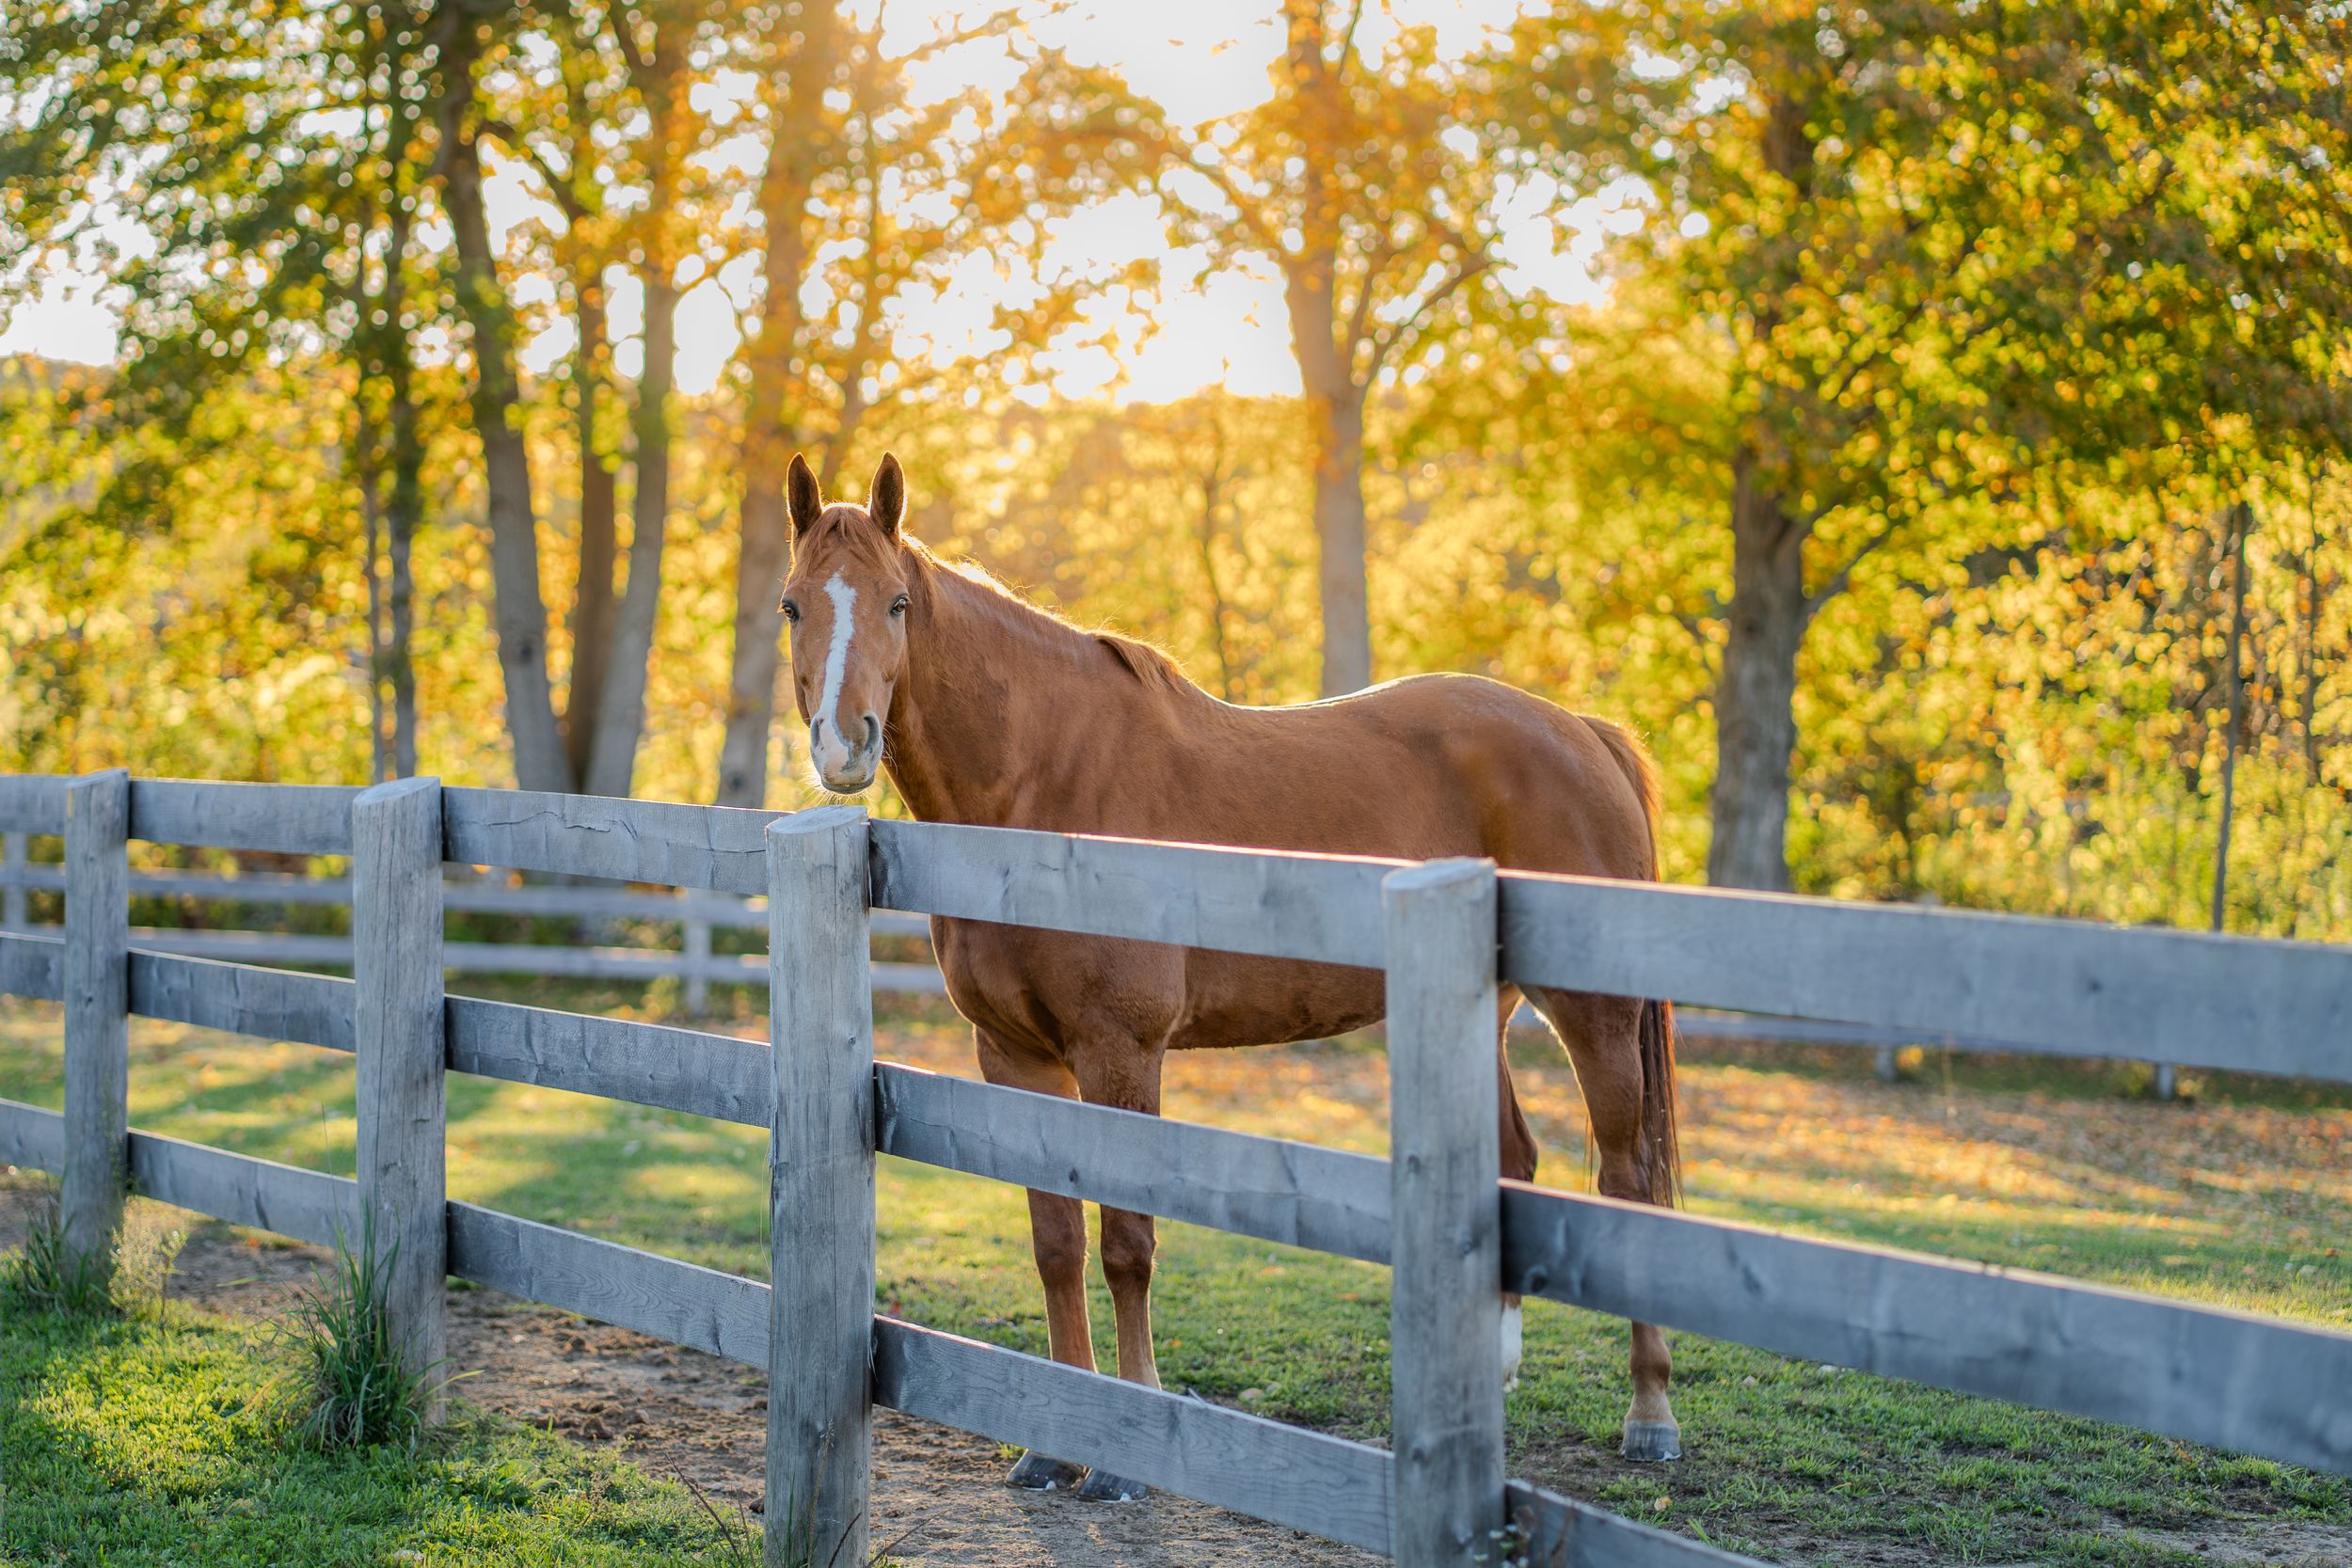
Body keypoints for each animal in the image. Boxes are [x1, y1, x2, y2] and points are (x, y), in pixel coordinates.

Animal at [773, 451, 1683, 1501]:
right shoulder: (1013, 1054)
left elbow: (1127, 1243)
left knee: (1630, 1180)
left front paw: (1122, 1451)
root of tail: (1578, 729)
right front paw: (1052, 1443)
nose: (844, 744)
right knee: (1517, 1161)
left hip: (1596, 1015)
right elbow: (1056, 1243)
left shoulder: (1120, 1051)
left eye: (895, 602)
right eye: (792, 605)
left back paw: (1650, 1414)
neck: (1044, 792)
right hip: (1479, 1013)